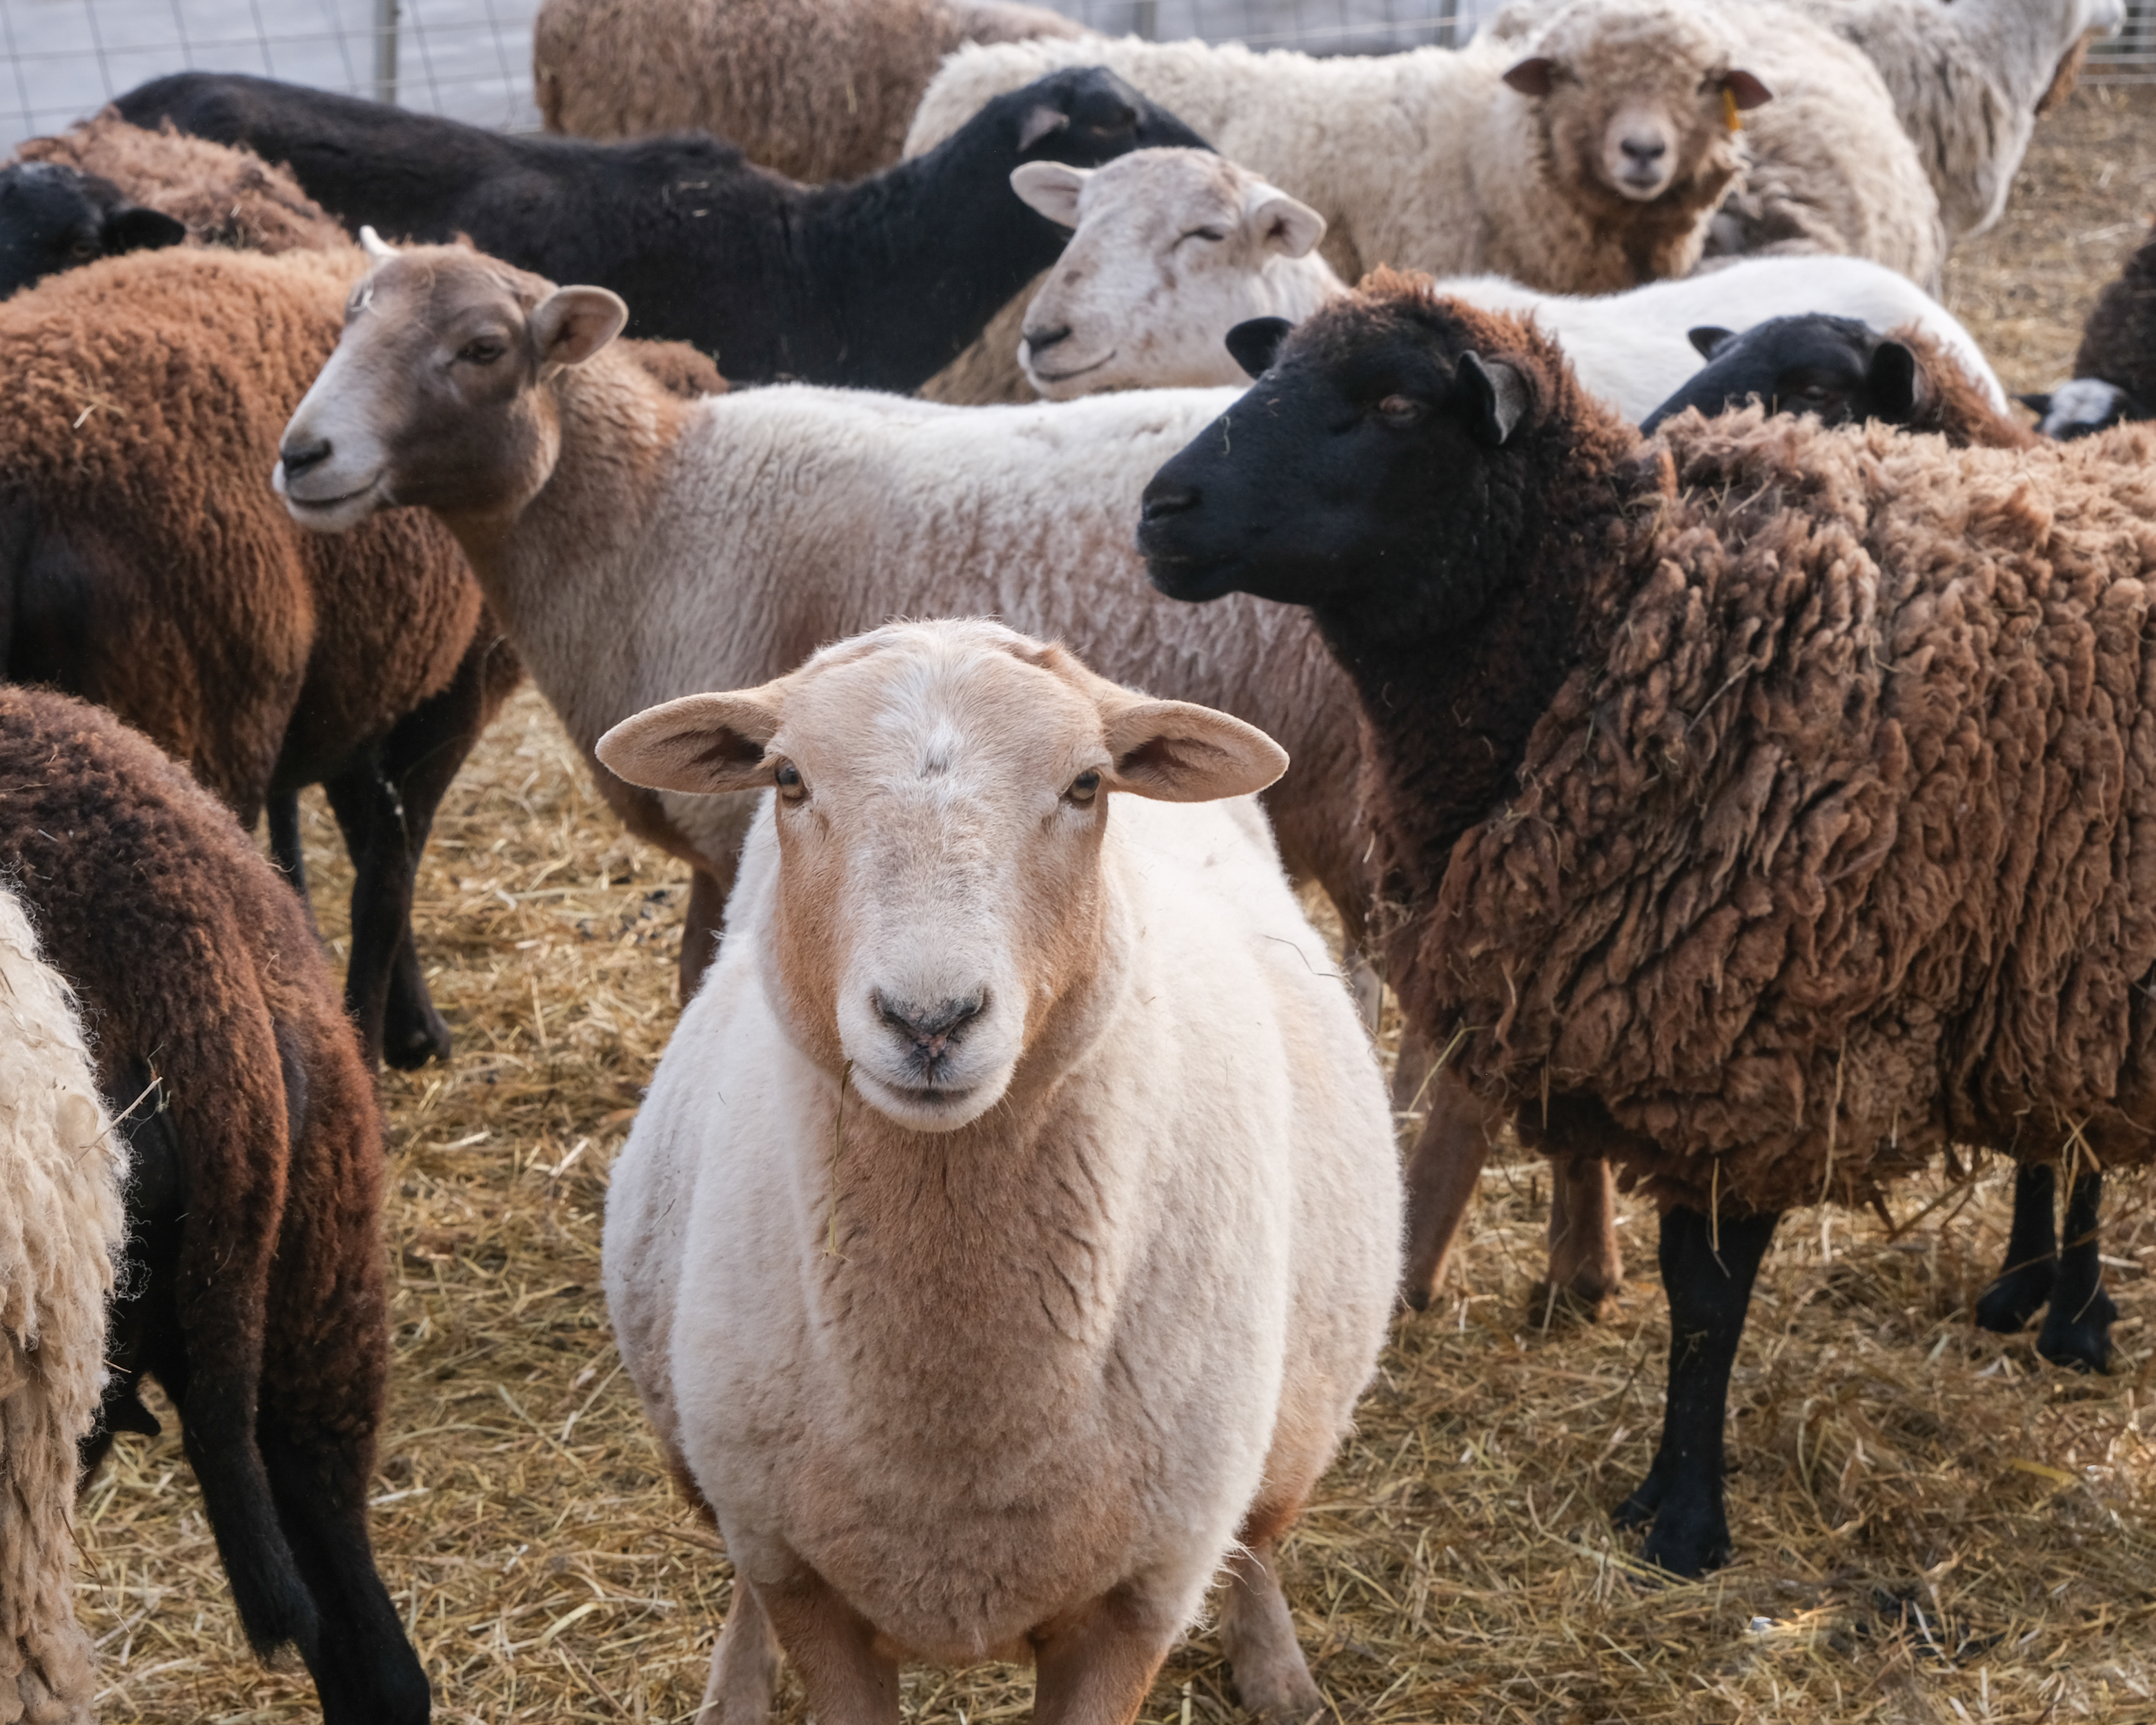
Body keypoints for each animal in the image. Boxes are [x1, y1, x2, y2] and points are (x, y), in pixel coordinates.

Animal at [595, 618, 1401, 1724]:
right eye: (790, 778)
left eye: (1087, 784)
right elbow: (786, 1609)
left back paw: (1276, 1669)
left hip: (1292, 1429)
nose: (929, 1021)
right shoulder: (804, 1579)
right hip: (711, 1469)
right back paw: (735, 1689)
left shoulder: (1138, 1600)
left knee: (1256, 1546)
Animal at [1136, 273, 2156, 1577]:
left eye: (1399, 402)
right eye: (1272, 372)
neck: (1614, 631)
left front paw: (1684, 1520)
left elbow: (1707, 1294)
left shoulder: (1757, 1040)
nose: (1162, 508)